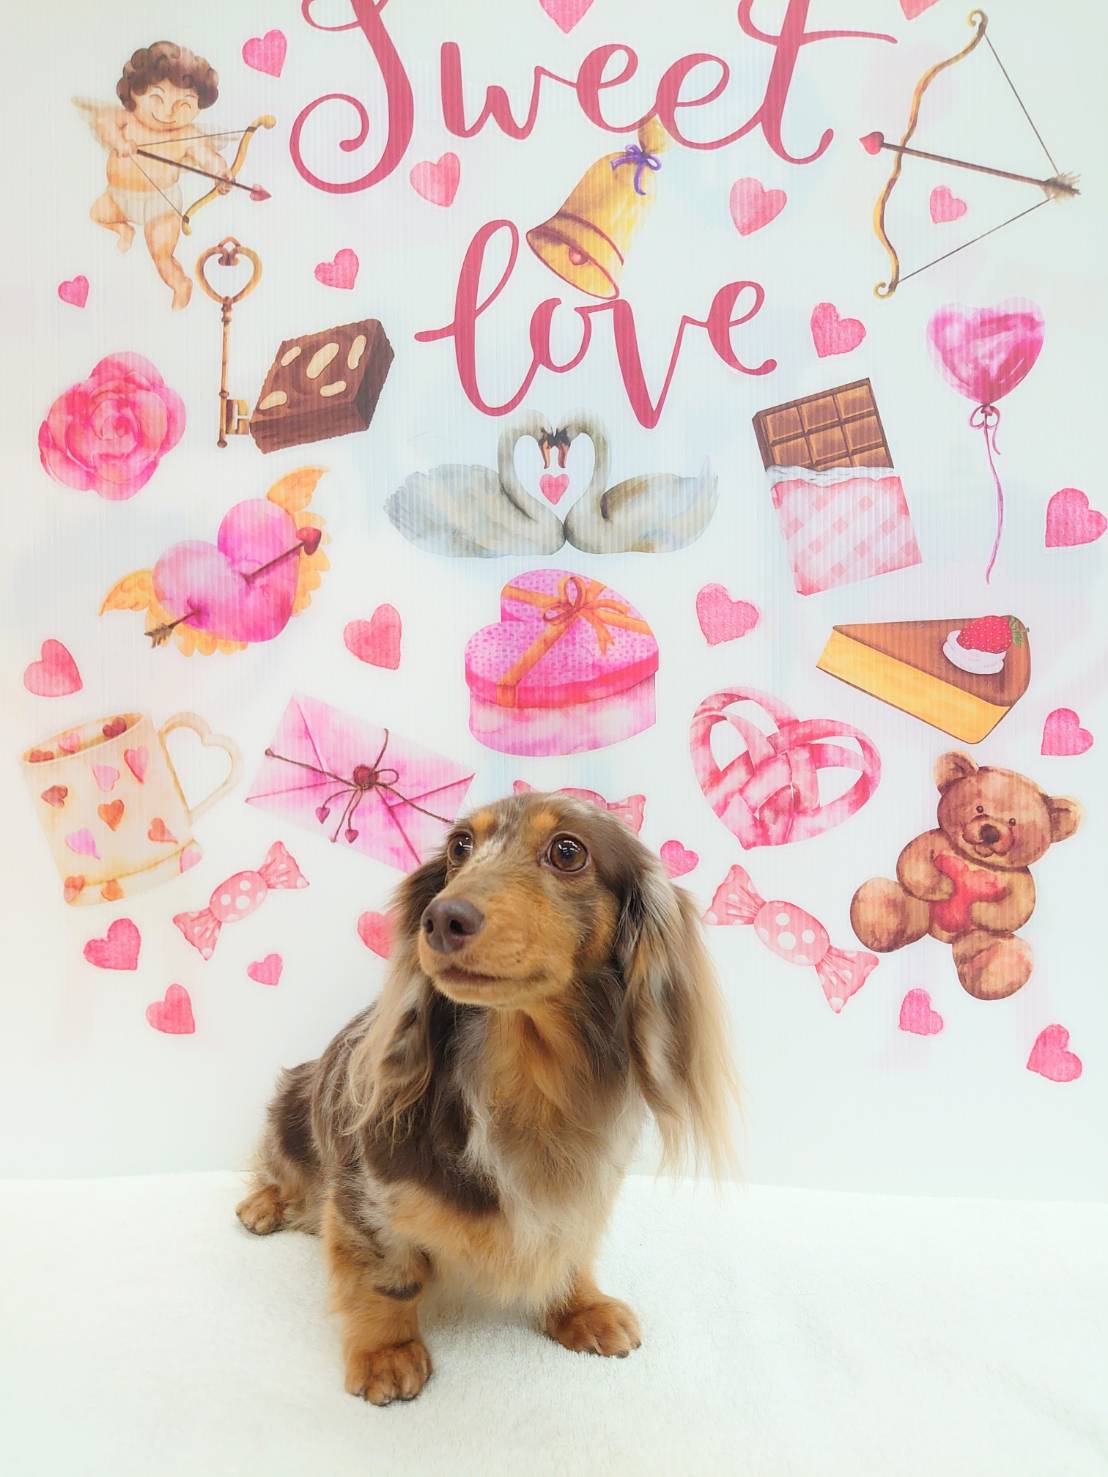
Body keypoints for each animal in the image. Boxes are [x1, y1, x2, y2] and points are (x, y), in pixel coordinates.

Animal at [236, 791, 738, 1405]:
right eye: (459, 846)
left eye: (568, 851)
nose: (440, 919)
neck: (528, 1079)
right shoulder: (367, 1194)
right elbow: (386, 1278)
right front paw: (386, 1351)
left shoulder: (578, 1196)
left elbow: (568, 1249)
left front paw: (580, 1307)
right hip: (289, 1112)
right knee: (280, 1171)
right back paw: (264, 1204)